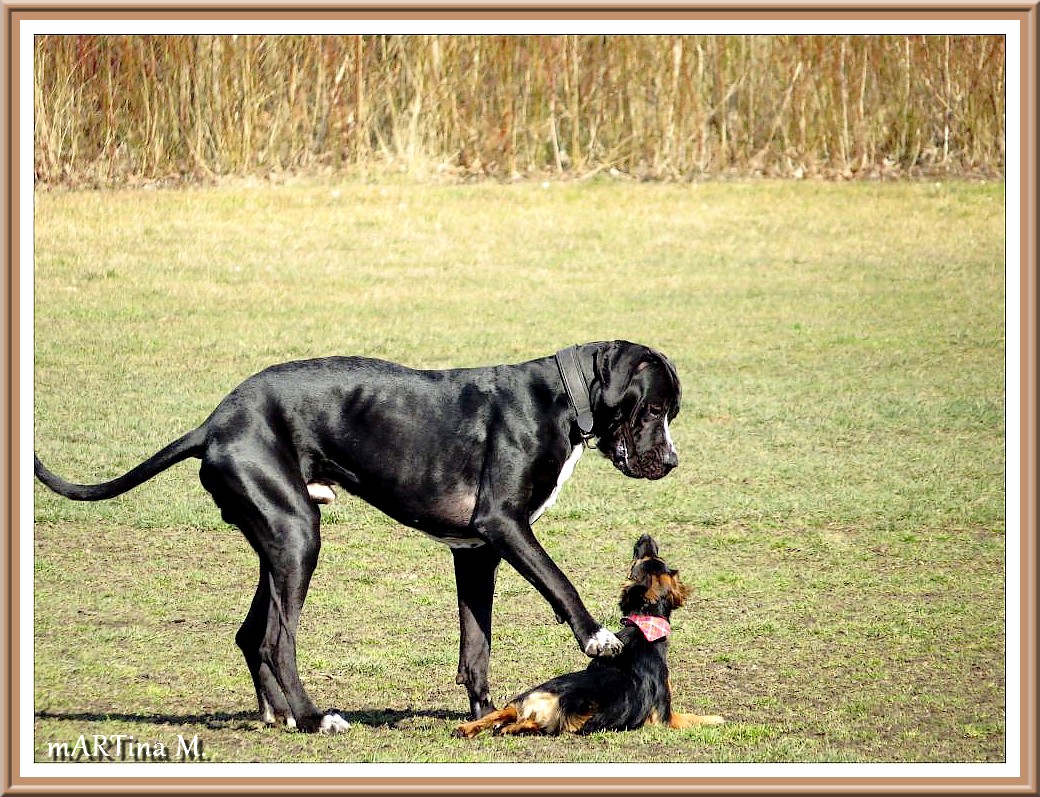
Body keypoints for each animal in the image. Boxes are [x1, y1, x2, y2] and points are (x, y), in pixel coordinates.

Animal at [34, 341, 682, 732]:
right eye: (654, 409)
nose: (672, 461)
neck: (559, 400)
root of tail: (214, 424)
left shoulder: (477, 556)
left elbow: (476, 647)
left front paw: (488, 713)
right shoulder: (503, 526)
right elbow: (559, 582)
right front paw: (598, 637)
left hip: (280, 540)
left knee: (252, 633)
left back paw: (279, 715)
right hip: (298, 536)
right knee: (277, 640)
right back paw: (314, 718)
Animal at [455, 532, 723, 740]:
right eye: (647, 558)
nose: (645, 537)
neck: (642, 626)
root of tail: (556, 700)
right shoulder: (663, 716)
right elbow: (690, 717)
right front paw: (716, 719)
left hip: (530, 699)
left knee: (503, 714)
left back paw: (468, 728)